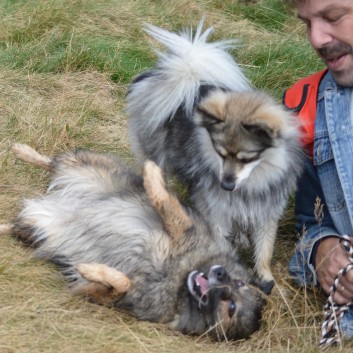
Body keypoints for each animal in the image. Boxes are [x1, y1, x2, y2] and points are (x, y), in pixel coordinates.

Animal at [0, 144, 264, 340]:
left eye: (232, 308)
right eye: (238, 283)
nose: (219, 274)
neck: (177, 278)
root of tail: (57, 202)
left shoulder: (105, 295)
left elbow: (120, 282)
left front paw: (90, 269)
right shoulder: (184, 229)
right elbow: (164, 202)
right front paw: (153, 173)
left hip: (36, 228)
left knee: (12, 225)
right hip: (91, 168)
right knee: (53, 161)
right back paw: (21, 150)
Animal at [126, 20, 302, 292]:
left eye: (246, 158)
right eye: (220, 153)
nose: (226, 185)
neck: (250, 184)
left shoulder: (266, 211)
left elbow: (265, 248)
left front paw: (265, 276)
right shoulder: (216, 211)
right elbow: (222, 241)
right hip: (158, 160)